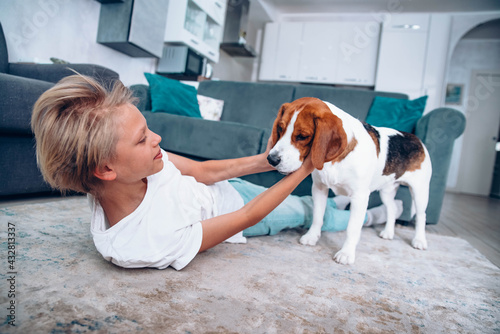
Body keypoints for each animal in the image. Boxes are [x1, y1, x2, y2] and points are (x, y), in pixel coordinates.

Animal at [268, 98, 432, 264]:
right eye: (280, 129)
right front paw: (312, 237)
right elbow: (317, 216)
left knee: (421, 215)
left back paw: (419, 240)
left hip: (419, 192)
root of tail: (417, 139)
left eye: (302, 136)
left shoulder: (360, 197)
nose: (271, 159)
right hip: (386, 191)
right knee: (391, 208)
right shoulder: (319, 188)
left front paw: (346, 253)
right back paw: (388, 232)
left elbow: (352, 228)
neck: (335, 161)